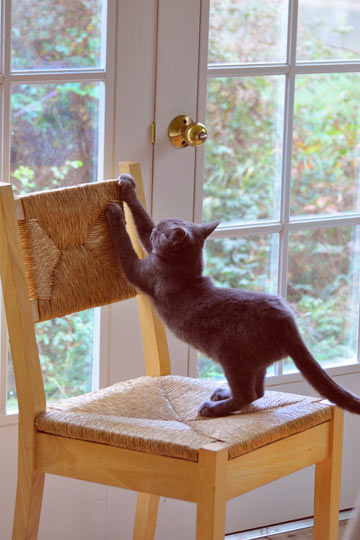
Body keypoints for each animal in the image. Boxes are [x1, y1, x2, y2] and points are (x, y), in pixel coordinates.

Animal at [105, 174, 360, 418]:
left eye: (160, 231)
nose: (156, 231)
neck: (187, 273)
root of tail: (288, 323)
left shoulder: (141, 271)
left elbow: (126, 246)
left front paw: (114, 214)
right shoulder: (151, 252)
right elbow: (142, 221)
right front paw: (128, 185)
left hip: (230, 355)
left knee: (247, 394)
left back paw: (213, 408)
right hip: (254, 363)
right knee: (258, 391)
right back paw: (222, 394)